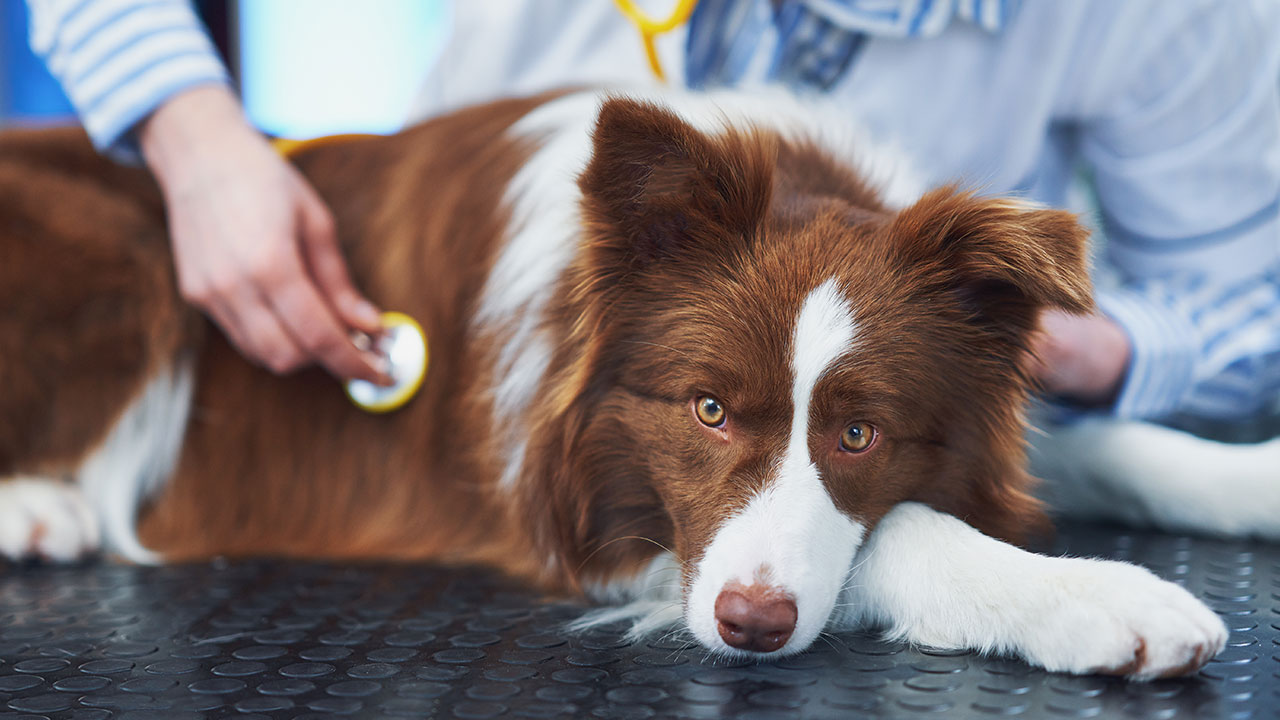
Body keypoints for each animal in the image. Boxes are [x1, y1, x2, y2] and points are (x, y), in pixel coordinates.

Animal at [0, 87, 1249, 676]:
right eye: (707, 409)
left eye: (860, 435)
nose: (749, 629)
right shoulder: (586, 511)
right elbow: (900, 536)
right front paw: (1100, 599)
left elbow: (1117, 446)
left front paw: (1245, 481)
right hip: (128, 243)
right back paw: (40, 510)